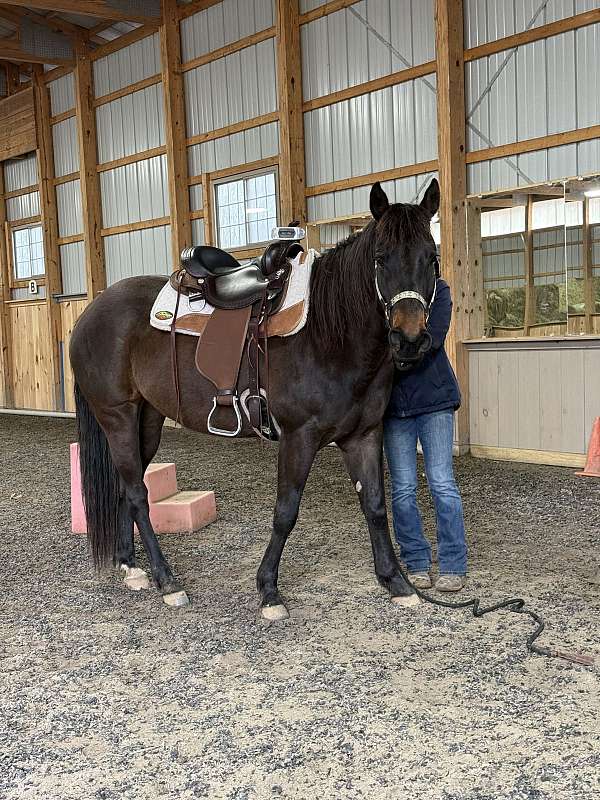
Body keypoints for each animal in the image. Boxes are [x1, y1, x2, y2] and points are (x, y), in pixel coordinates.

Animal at [70, 179, 441, 618]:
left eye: (432, 257)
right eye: (381, 259)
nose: (409, 339)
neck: (328, 334)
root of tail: (91, 311)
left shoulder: (363, 436)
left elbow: (375, 505)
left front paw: (396, 581)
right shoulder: (299, 437)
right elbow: (286, 512)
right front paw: (268, 590)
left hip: (147, 419)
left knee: (127, 488)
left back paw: (130, 566)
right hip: (117, 416)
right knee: (139, 496)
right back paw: (167, 581)